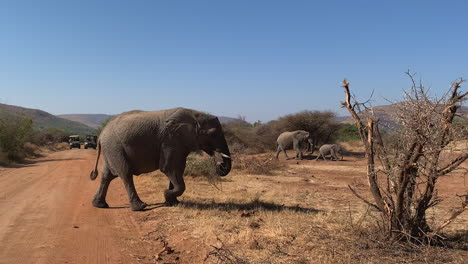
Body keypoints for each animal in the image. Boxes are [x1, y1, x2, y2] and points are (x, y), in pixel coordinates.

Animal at [88, 106, 231, 211]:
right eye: (213, 134)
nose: (220, 164)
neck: (196, 115)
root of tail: (101, 135)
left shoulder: (178, 143)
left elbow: (178, 170)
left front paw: (173, 203)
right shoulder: (170, 140)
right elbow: (169, 168)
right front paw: (167, 194)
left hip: (110, 150)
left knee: (107, 176)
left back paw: (100, 205)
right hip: (115, 148)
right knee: (126, 173)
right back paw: (140, 207)